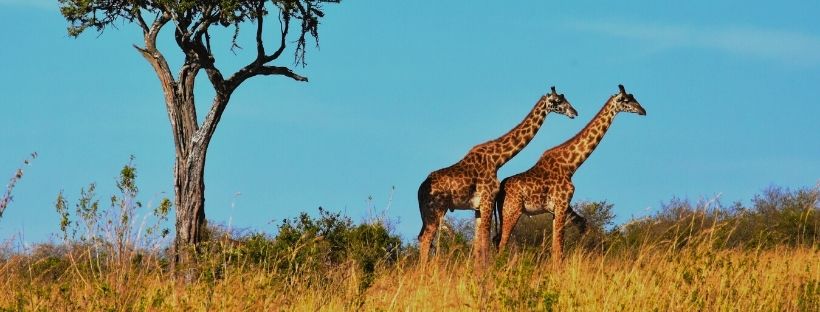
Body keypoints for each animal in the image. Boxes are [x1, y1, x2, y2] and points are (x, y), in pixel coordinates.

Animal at [416, 86, 576, 266]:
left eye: (565, 98)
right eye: (558, 100)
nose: (574, 112)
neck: (497, 160)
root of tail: (420, 190)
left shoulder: (479, 207)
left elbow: (479, 242)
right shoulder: (487, 200)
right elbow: (485, 241)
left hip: (426, 213)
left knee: (421, 237)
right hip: (436, 210)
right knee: (426, 238)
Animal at [494, 84, 648, 264]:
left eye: (633, 97)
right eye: (625, 100)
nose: (643, 110)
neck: (571, 165)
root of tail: (499, 191)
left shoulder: (559, 209)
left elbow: (560, 244)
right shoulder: (561, 205)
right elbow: (558, 249)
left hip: (504, 212)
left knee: (496, 240)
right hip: (512, 210)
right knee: (502, 242)